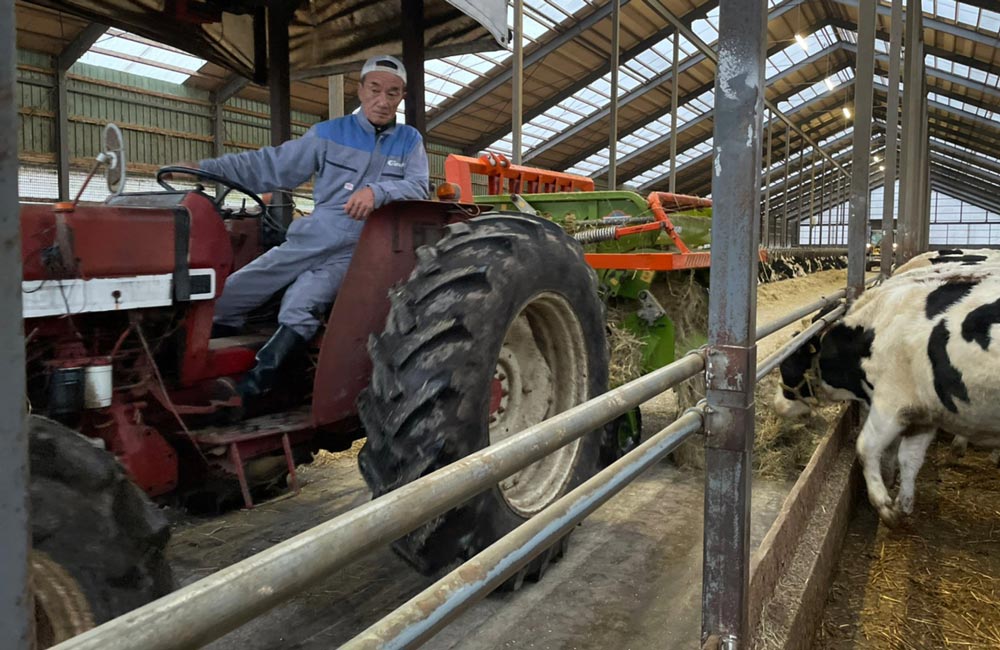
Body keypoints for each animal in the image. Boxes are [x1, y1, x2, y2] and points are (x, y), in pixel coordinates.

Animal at [774, 263, 1000, 525]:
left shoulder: (891, 403)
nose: (776, 405)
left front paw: (883, 505)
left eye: (787, 366)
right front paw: (903, 504)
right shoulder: (923, 413)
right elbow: (909, 457)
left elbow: (866, 447)